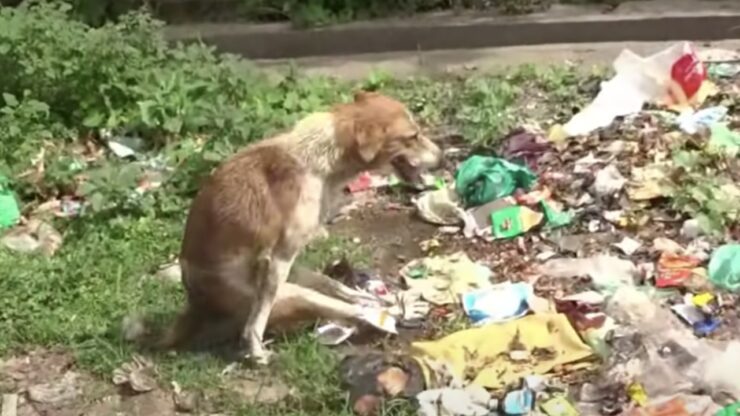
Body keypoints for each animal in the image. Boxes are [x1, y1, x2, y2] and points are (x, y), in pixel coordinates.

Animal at [163, 91, 440, 364]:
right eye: (413, 136)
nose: (443, 157)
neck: (322, 155)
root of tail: (197, 306)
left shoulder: (282, 262)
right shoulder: (278, 260)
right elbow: (255, 323)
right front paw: (255, 350)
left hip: (297, 280)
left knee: (338, 289)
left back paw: (377, 299)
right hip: (294, 293)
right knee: (351, 309)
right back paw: (394, 310)